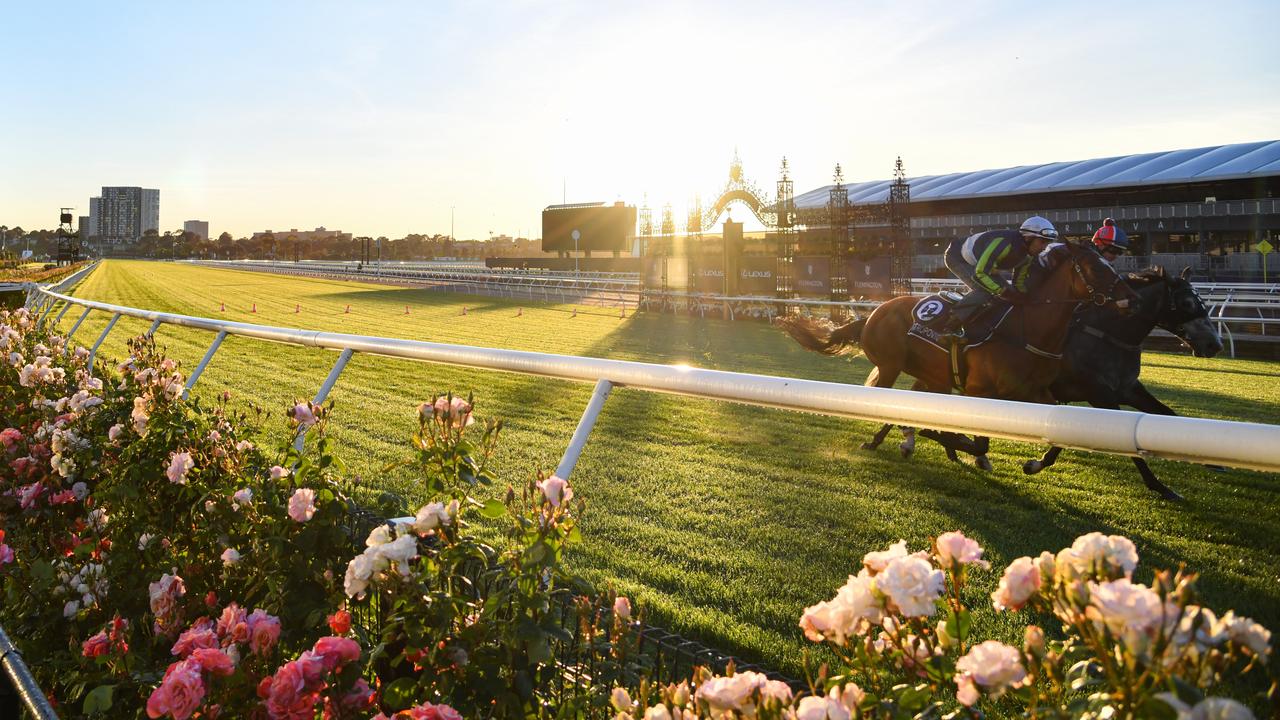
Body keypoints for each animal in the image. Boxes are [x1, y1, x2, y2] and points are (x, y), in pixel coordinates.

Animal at [773, 238, 1136, 468]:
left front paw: (1032, 462)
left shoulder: (1036, 394)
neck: (1026, 329)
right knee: (886, 404)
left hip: (933, 375)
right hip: (892, 366)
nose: (1131, 296)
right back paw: (887, 440)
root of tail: (875, 311)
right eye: (1096, 268)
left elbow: (1056, 437)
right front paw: (949, 441)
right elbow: (978, 439)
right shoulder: (979, 391)